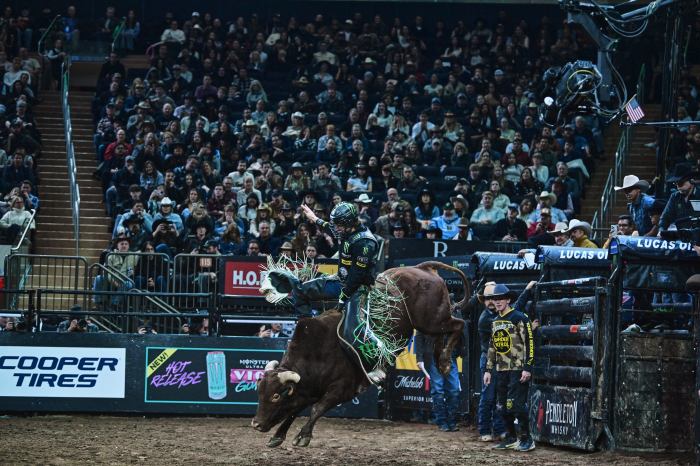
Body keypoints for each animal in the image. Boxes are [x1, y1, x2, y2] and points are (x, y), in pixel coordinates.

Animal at [252, 262, 470, 448]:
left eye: (275, 396)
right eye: (259, 392)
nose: (256, 424)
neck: (315, 355)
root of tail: (423, 267)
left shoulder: (343, 389)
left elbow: (317, 409)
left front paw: (303, 436)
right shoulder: (309, 390)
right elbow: (295, 410)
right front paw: (278, 436)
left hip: (432, 320)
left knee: (459, 324)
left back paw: (444, 362)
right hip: (431, 324)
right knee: (442, 335)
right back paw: (439, 358)